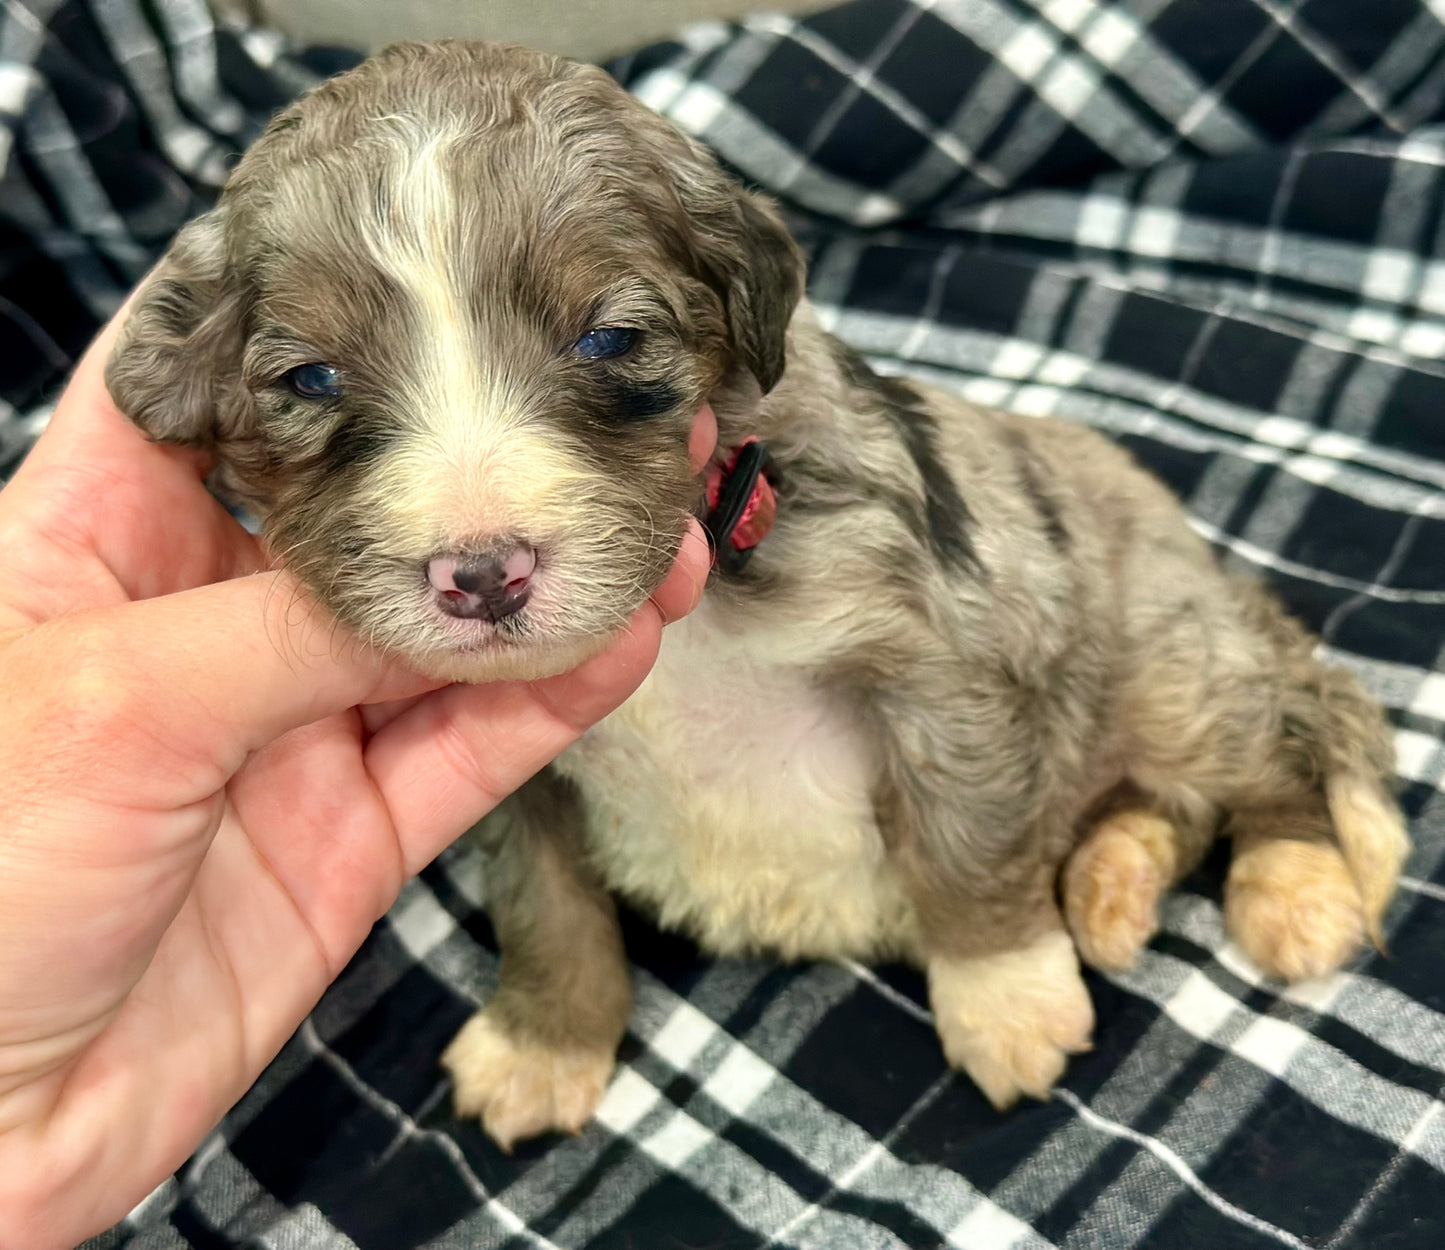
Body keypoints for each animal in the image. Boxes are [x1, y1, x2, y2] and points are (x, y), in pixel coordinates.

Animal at [109, 41, 1410, 1150]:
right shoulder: (518, 779)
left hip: (1167, 666)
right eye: (309, 379)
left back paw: (1288, 885)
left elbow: (964, 845)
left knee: (1277, 756)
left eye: (610, 337)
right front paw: (544, 1038)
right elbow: (544, 901)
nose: (479, 575)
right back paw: (1110, 876)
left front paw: (1003, 993)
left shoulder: (940, 661)